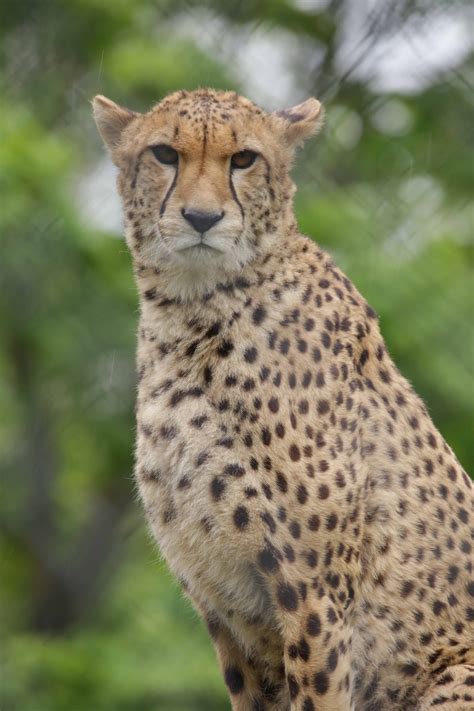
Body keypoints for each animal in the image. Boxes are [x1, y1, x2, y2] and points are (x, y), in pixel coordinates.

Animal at [93, 90, 474, 711]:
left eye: (244, 159)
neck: (193, 313)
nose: (202, 218)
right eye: (164, 154)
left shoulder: (314, 593)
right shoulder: (224, 607)